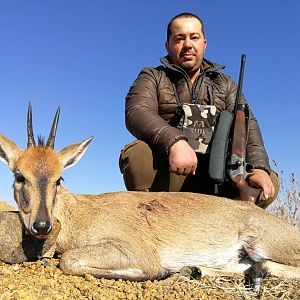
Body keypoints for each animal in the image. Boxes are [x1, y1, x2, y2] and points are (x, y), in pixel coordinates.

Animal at [0, 104, 298, 292]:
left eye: (59, 178)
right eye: (19, 176)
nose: (41, 225)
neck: (80, 212)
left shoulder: (137, 252)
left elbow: (68, 260)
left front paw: (161, 272)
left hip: (263, 244)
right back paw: (195, 270)